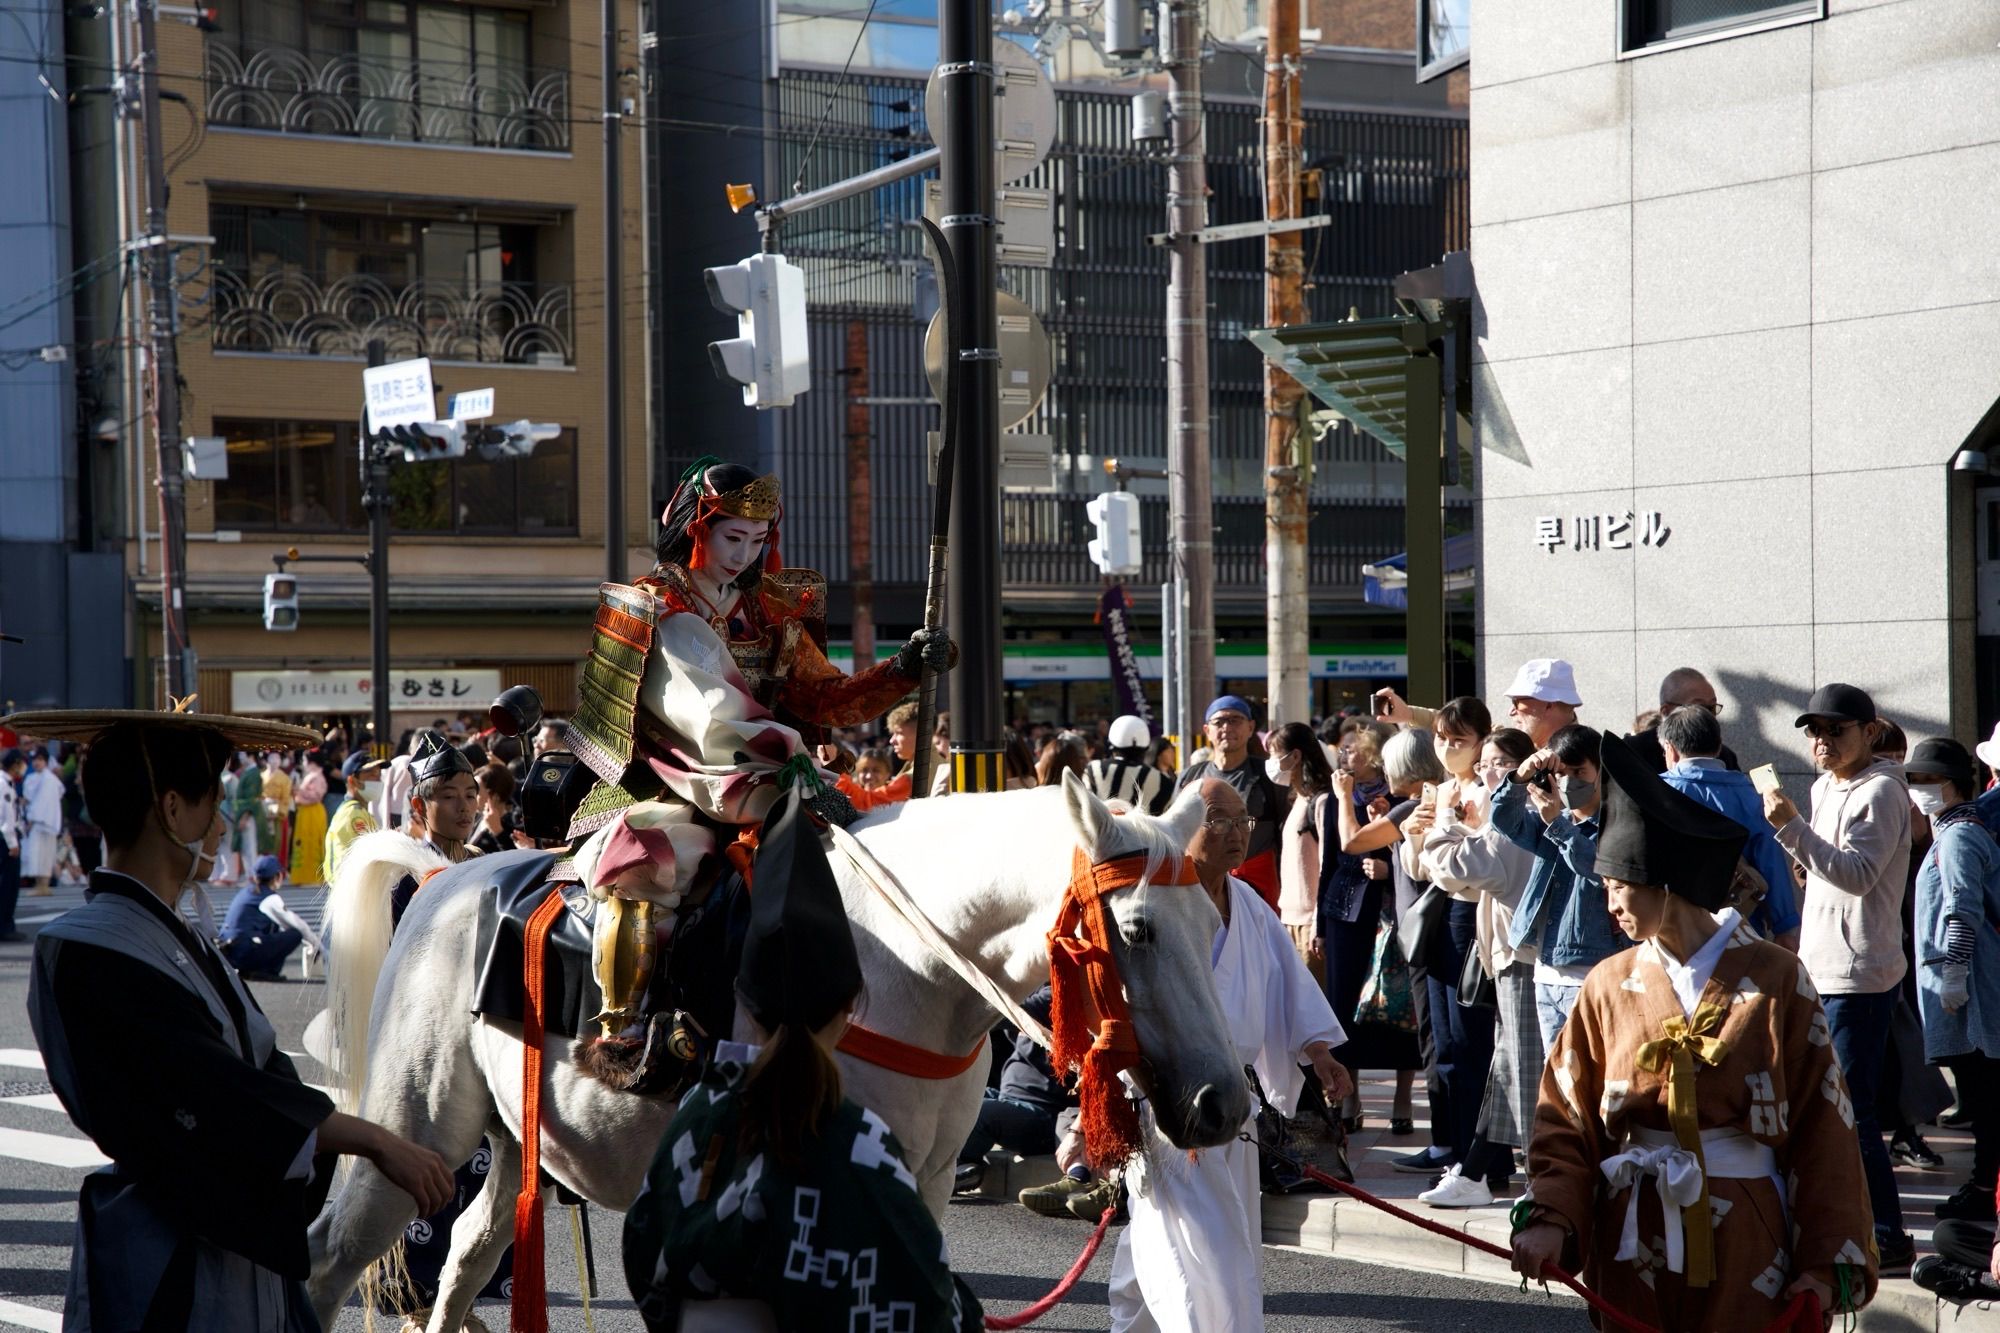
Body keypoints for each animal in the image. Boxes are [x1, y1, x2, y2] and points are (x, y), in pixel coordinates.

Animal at [308, 768, 1248, 1328]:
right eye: (1138, 928)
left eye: (1214, 922)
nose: (1223, 1104)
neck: (904, 963)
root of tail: (445, 877)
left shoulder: (928, 1178)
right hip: (419, 1127)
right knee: (335, 1250)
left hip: (516, 1137)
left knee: (467, 1250)